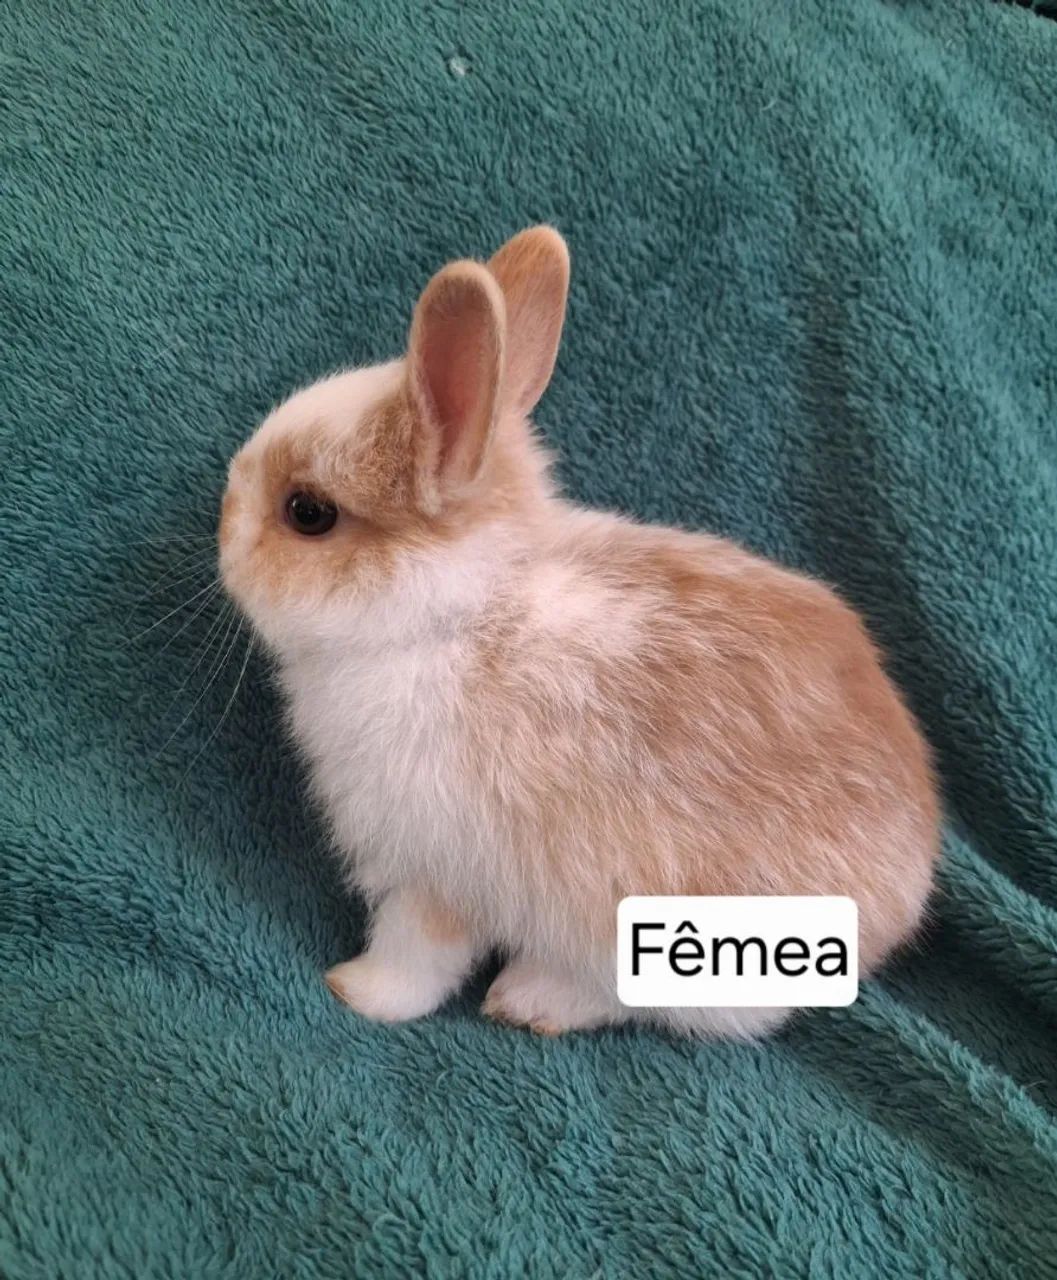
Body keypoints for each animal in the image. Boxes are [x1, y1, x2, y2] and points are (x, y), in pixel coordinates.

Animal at [218, 226, 940, 1040]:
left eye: (307, 513)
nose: (221, 533)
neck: (455, 614)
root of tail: (901, 898)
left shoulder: (438, 870)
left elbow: (417, 954)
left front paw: (356, 992)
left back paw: (529, 999)